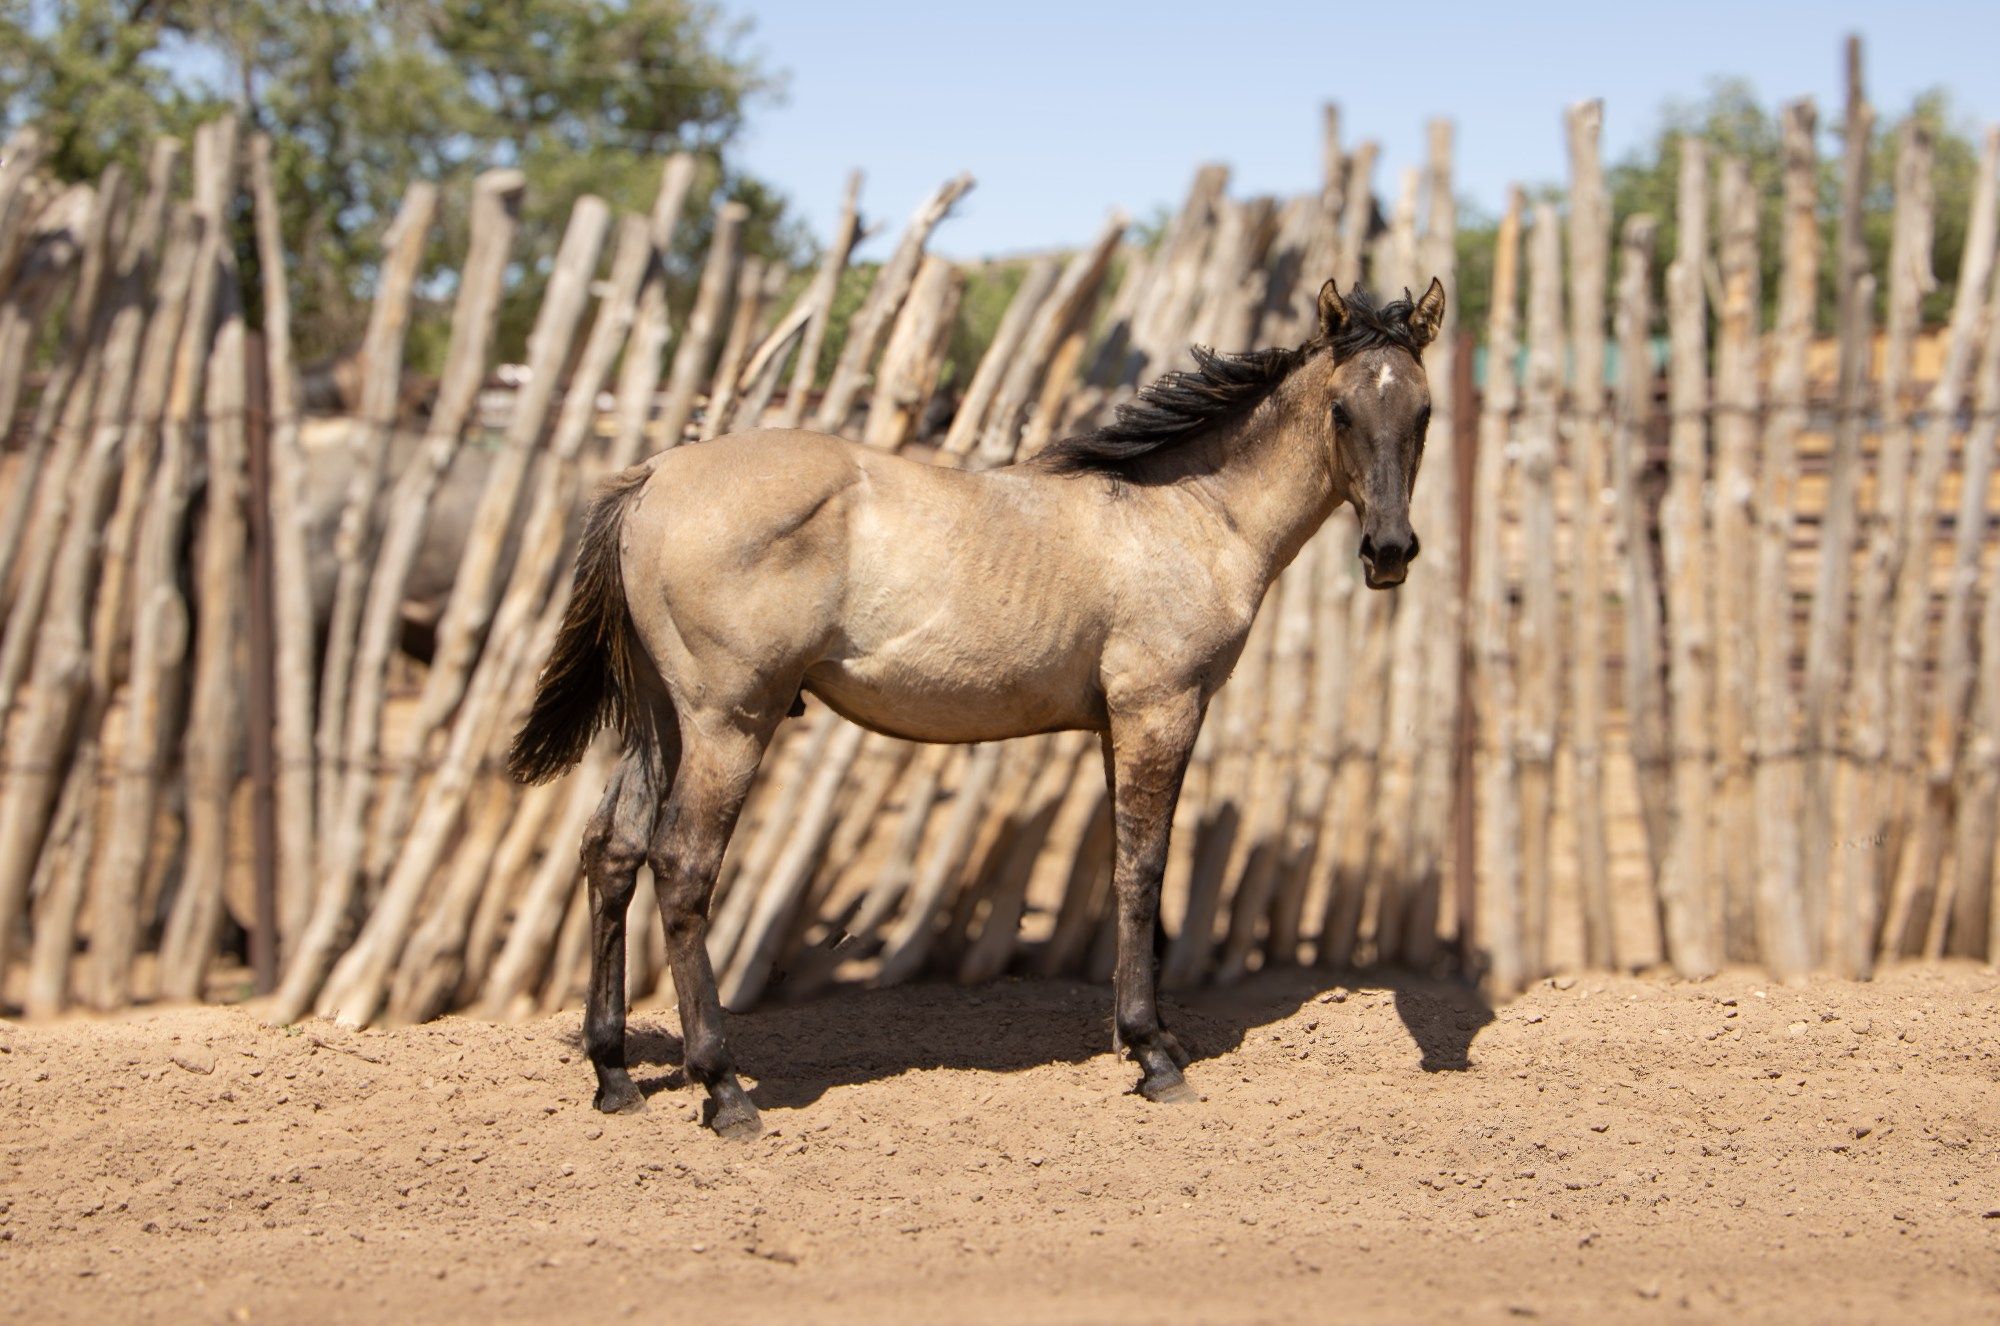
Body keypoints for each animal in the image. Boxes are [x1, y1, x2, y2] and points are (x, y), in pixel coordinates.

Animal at [508, 276, 1444, 1137]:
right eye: (1341, 410)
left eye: (1425, 411)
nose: (1390, 553)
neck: (1186, 513)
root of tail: (652, 476)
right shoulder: (1162, 710)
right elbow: (1144, 869)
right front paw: (1153, 1055)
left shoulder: (1119, 725)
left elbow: (1124, 865)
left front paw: (1140, 1036)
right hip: (727, 723)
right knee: (682, 868)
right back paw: (724, 1089)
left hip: (660, 725)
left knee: (613, 852)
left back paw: (614, 1076)